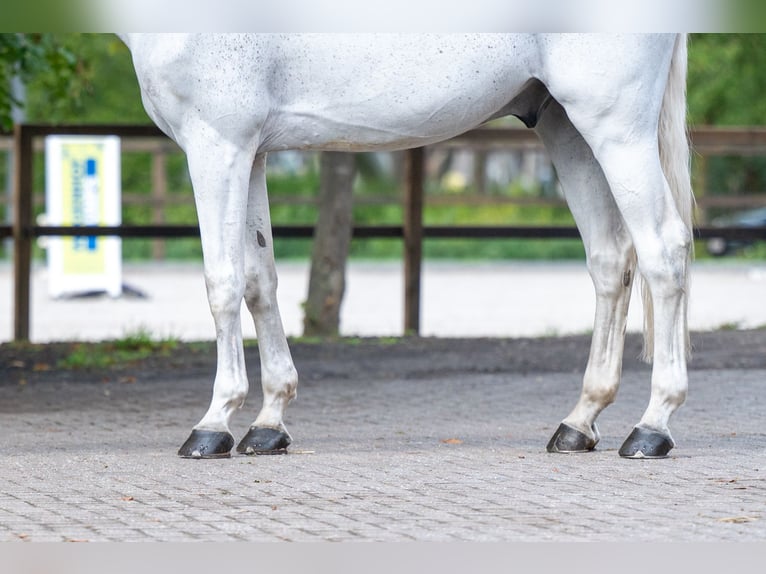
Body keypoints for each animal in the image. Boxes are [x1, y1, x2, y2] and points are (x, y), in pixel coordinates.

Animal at [119, 34, 693, 460]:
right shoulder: (251, 153)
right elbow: (261, 282)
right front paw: (268, 424)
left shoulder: (216, 145)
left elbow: (223, 283)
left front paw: (213, 424)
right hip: (566, 128)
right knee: (610, 260)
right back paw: (580, 422)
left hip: (617, 132)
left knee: (664, 251)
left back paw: (651, 429)